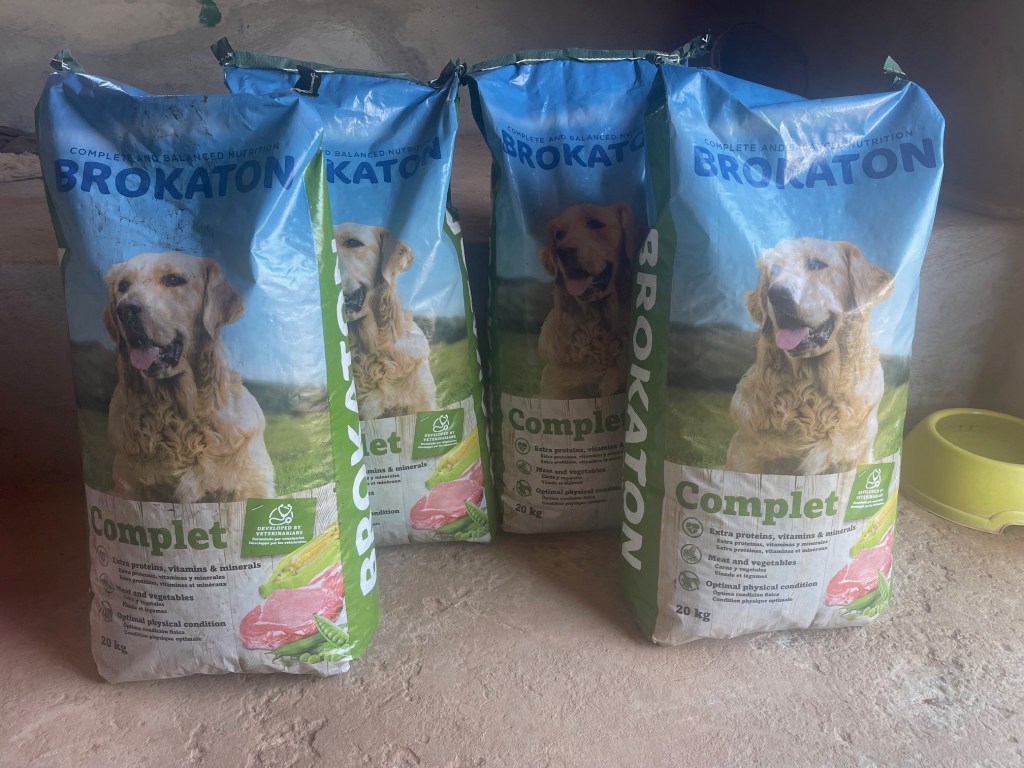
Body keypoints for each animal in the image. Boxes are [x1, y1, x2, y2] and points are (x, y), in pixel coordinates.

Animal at [725, 238, 895, 475]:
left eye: (816, 264)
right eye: (773, 271)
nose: (777, 294)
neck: (812, 392)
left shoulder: (854, 456)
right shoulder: (745, 457)